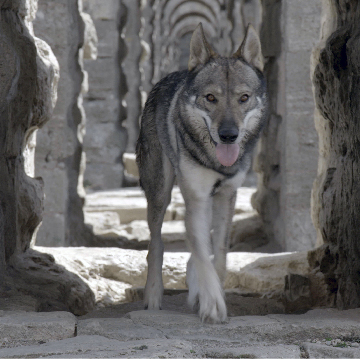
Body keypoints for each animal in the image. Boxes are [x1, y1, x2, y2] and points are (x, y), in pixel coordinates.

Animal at [136, 23, 268, 324]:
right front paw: (213, 305)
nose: (229, 135)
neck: (216, 162)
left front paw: (208, 294)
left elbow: (217, 254)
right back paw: (153, 297)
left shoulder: (226, 196)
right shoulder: (196, 198)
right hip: (160, 194)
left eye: (243, 98)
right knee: (156, 245)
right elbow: (198, 248)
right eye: (211, 98)